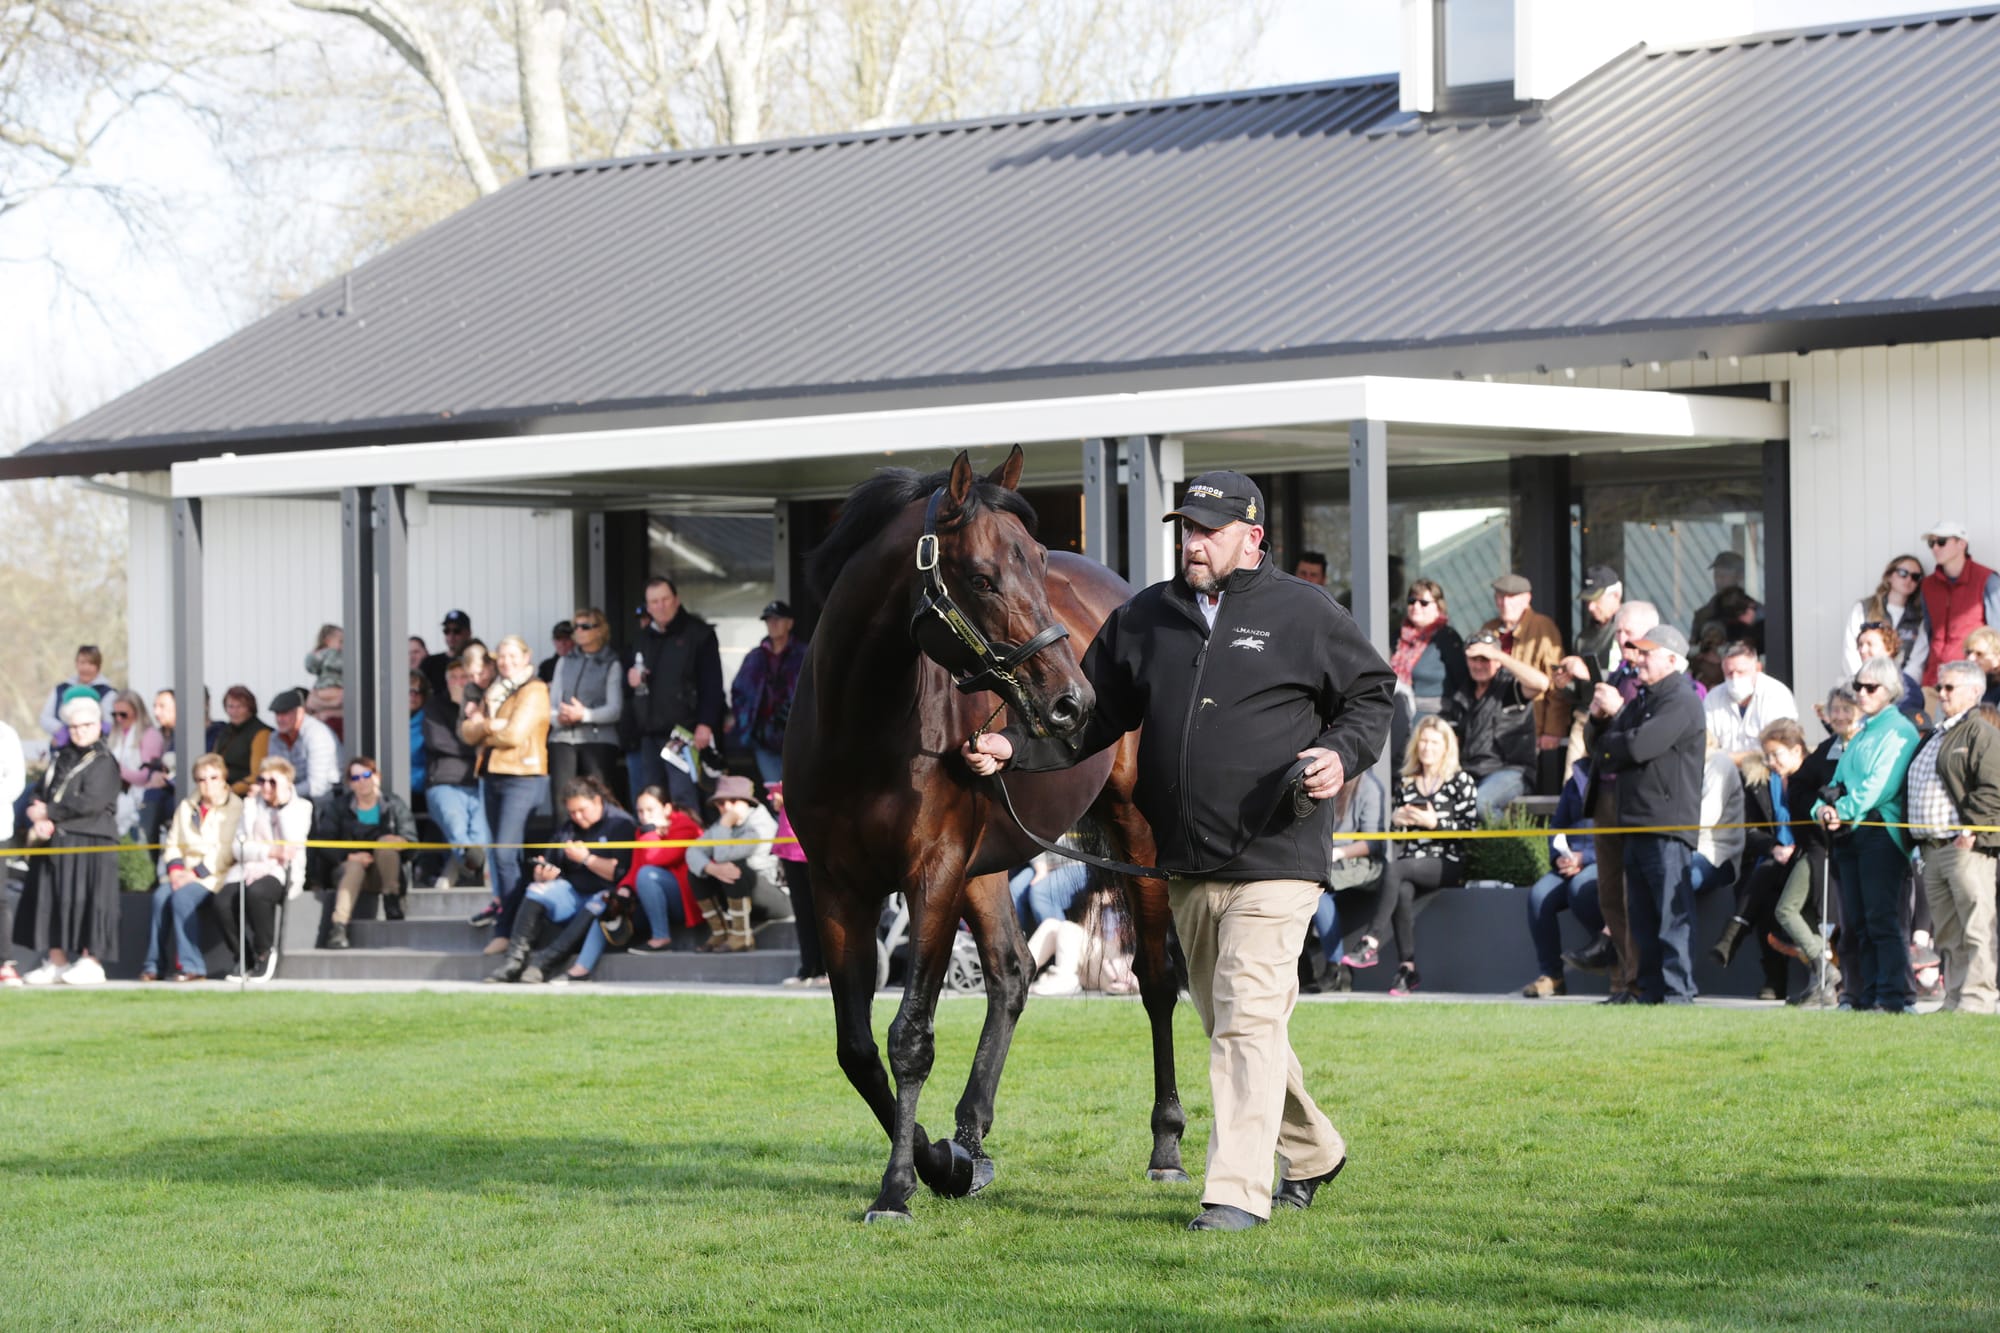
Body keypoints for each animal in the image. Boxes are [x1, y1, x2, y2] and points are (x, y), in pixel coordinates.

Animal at [784, 444, 1184, 1216]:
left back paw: (1167, 1144)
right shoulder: (837, 885)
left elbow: (909, 1035)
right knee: (1012, 972)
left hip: (1134, 832)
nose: (1073, 701)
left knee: (1155, 979)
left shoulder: (932, 873)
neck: (860, 728)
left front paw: (898, 1188)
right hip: (988, 865)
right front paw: (943, 1160)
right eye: (979, 575)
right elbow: (857, 1049)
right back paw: (970, 1134)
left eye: (1037, 559)